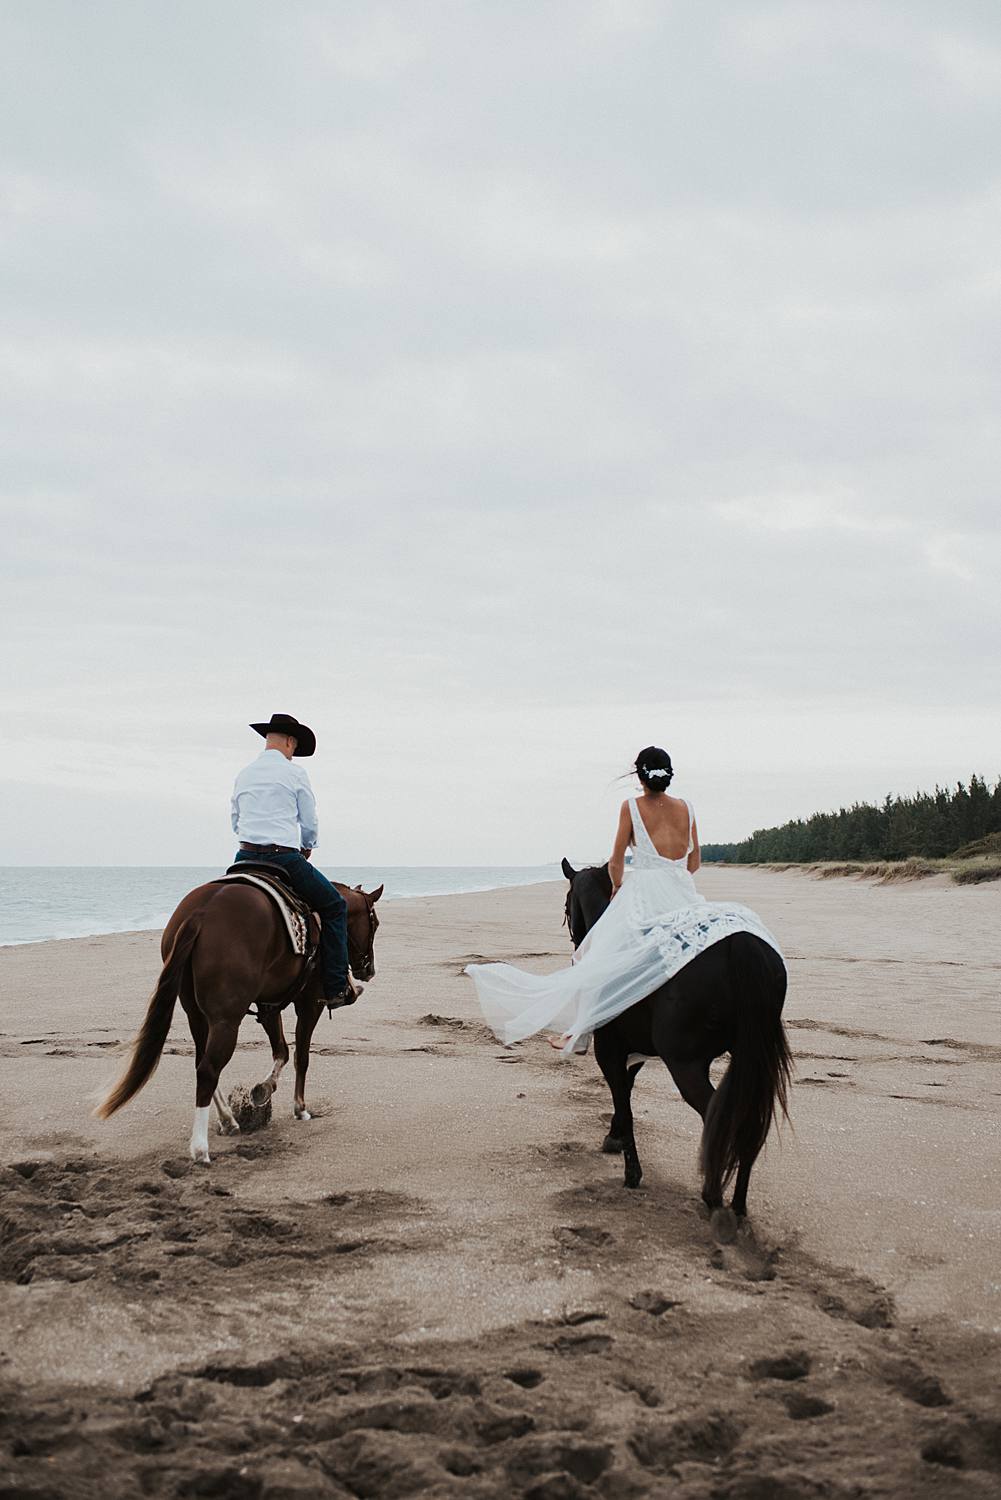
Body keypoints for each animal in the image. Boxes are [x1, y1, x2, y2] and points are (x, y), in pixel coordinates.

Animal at [96, 870, 384, 1158]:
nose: (368, 970)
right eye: (375, 923)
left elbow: (281, 1051)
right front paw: (300, 1108)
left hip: (196, 1015)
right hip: (226, 1020)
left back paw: (227, 1120)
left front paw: (263, 1090)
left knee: (201, 1062)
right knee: (208, 1069)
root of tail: (200, 913)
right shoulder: (310, 1003)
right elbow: (301, 1056)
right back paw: (200, 1147)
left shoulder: (269, 1005)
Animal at [564, 858, 792, 1218]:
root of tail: (739, 944)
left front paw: (632, 1172)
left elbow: (623, 1099)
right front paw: (615, 1137)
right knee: (748, 1120)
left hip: (685, 1064)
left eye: (566, 904)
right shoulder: (634, 1050)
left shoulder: (609, 1049)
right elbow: (625, 1090)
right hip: (750, 1058)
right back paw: (738, 1204)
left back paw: (713, 1196)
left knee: (717, 1116)